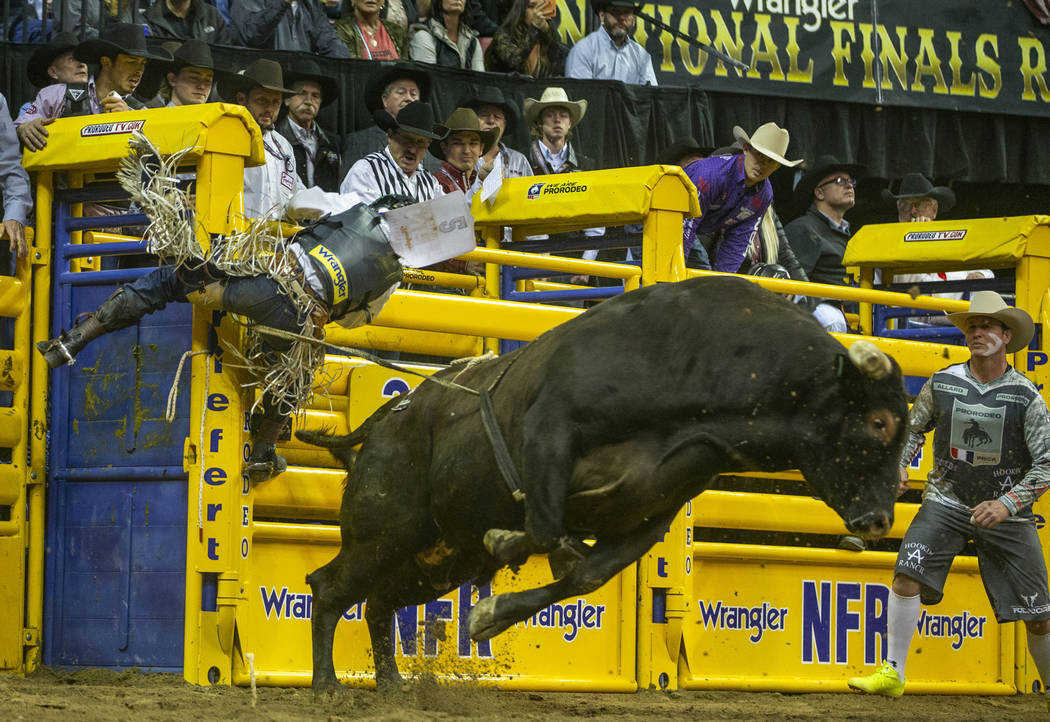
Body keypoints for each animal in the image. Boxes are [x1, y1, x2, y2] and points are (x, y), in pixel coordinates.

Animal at [298, 272, 911, 692]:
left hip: (441, 554)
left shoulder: (650, 516)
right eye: (880, 423)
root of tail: (386, 417)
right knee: (329, 586)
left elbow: (584, 574)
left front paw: (491, 614)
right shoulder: (549, 431)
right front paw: (514, 548)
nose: (881, 519)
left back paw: (390, 683)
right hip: (385, 528)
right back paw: (327, 684)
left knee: (380, 601)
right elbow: (548, 530)